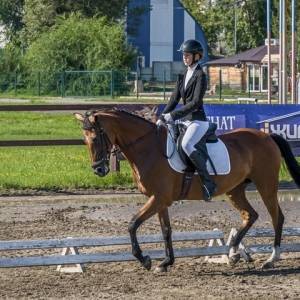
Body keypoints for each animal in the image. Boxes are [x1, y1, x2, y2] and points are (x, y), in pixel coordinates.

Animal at [74, 109, 300, 274]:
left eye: (95, 139)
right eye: (83, 140)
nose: (99, 170)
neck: (148, 148)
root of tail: (266, 136)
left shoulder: (159, 199)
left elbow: (132, 224)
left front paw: (145, 259)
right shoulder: (159, 200)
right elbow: (166, 230)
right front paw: (165, 262)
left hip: (266, 185)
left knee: (276, 218)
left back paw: (271, 259)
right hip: (235, 190)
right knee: (250, 215)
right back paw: (234, 253)